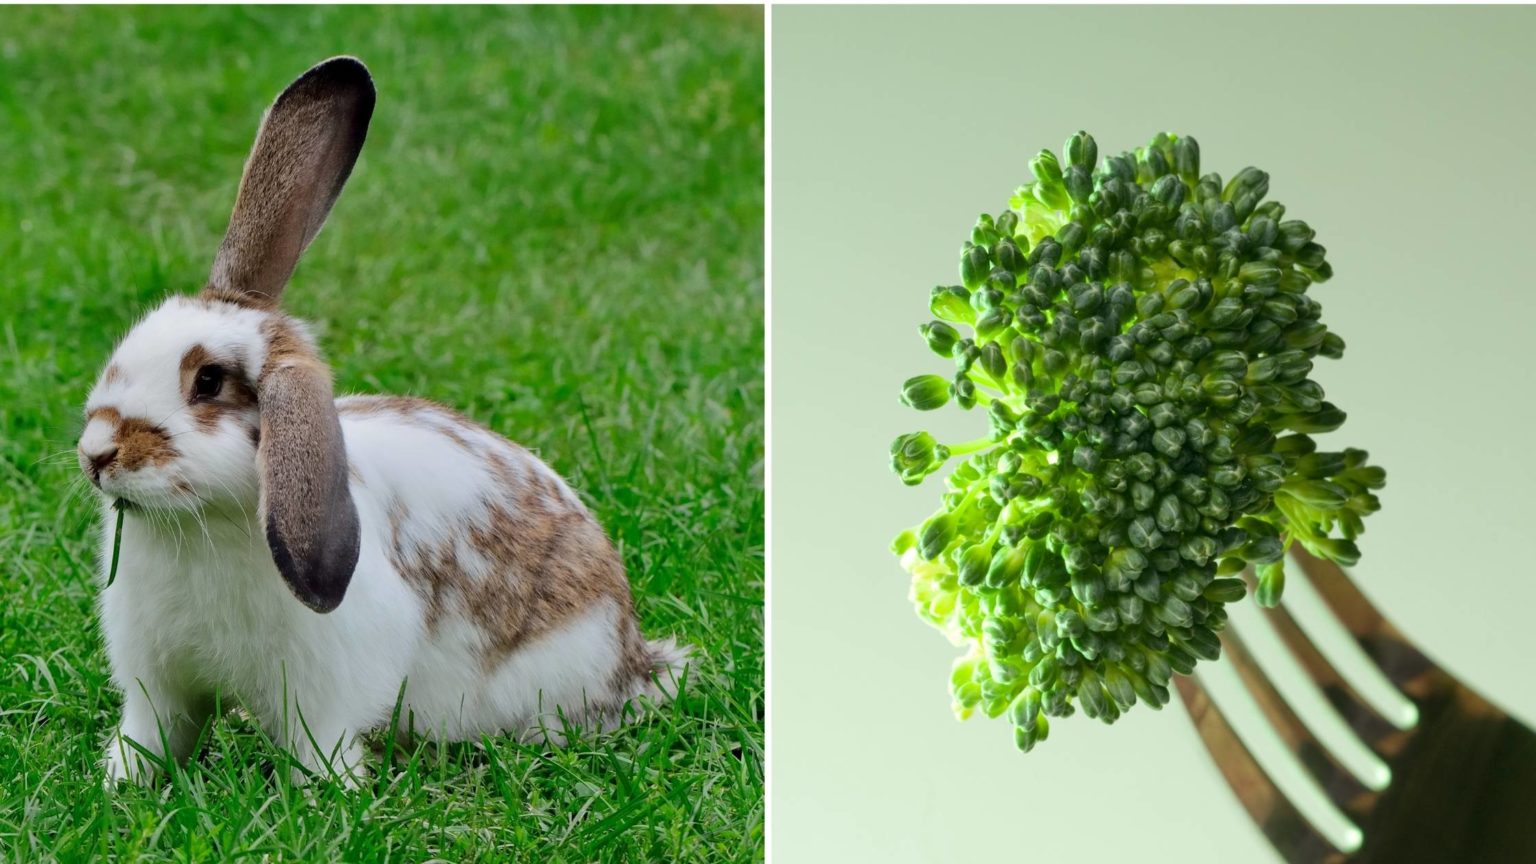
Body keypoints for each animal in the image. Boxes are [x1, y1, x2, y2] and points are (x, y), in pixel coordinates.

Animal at [77, 56, 688, 787]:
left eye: (208, 381)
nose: (96, 453)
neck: (204, 528)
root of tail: (632, 656)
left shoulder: (322, 695)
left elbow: (322, 748)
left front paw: (326, 795)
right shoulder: (158, 686)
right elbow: (149, 738)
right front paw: (121, 787)